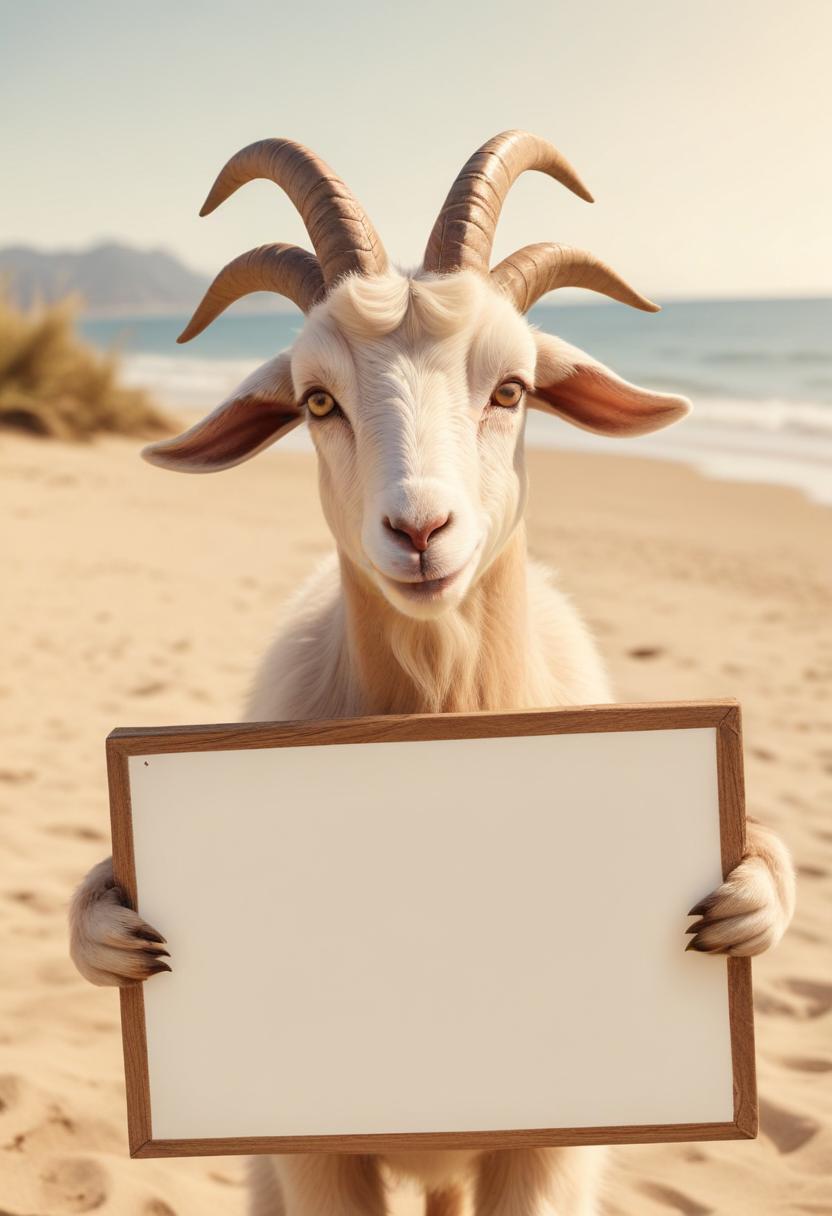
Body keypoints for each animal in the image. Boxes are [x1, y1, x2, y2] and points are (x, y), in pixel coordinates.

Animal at [70, 131, 795, 1216]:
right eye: (316, 400)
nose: (419, 531)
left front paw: (747, 896)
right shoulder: (317, 1159)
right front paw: (110, 929)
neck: (442, 697)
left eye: (513, 389)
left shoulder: (545, 1155)